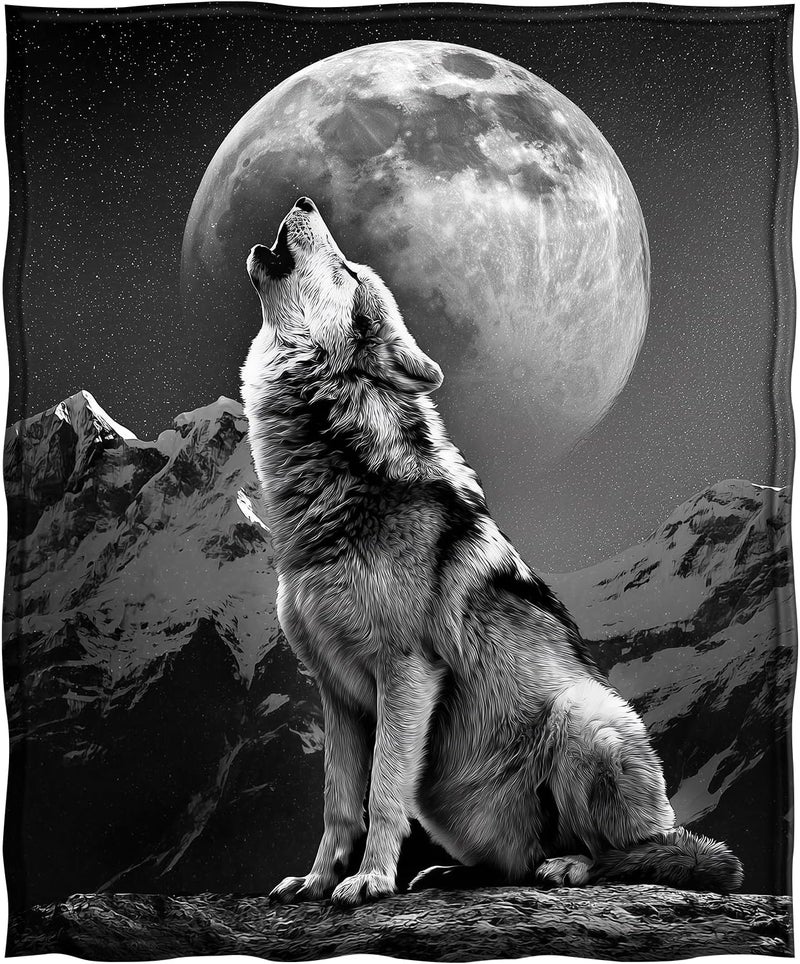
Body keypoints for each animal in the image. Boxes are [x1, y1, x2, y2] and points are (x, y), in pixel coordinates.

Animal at [241, 196, 743, 908]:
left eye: (346, 271)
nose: (306, 200)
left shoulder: (406, 671)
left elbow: (382, 791)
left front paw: (369, 881)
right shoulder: (335, 693)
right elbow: (338, 804)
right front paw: (315, 881)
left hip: (583, 720)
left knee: (628, 854)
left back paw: (569, 867)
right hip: (452, 804)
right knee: (513, 864)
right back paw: (454, 873)